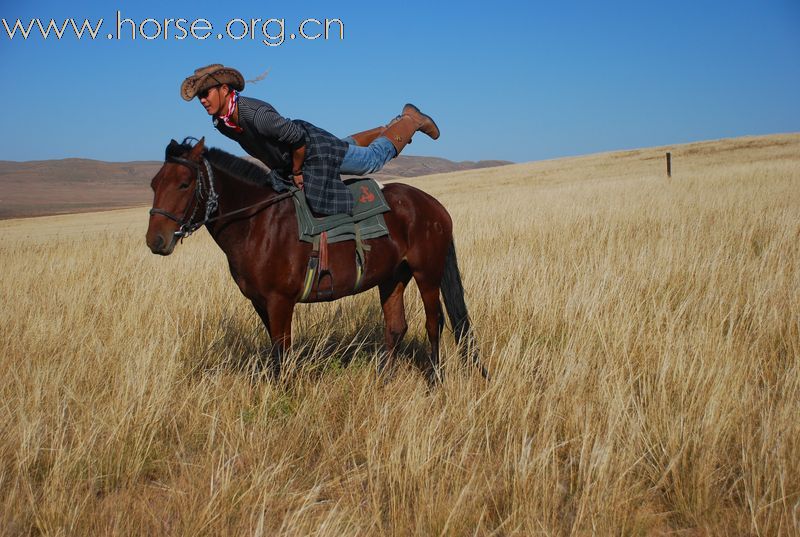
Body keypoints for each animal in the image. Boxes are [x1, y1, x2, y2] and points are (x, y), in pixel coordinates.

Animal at [145, 136, 488, 384]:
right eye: (153, 184)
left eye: (184, 184)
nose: (155, 241)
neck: (259, 223)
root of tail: (434, 206)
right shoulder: (260, 302)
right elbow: (275, 350)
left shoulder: (280, 301)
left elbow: (282, 351)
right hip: (393, 277)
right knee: (396, 327)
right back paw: (384, 381)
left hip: (427, 273)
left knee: (434, 322)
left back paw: (435, 380)